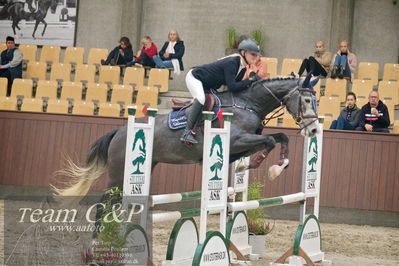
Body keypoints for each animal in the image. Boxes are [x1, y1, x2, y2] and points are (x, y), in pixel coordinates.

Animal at [54, 74, 320, 196]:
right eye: (307, 100)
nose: (315, 130)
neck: (247, 103)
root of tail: (119, 131)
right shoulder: (235, 140)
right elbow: (270, 140)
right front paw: (259, 166)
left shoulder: (242, 144)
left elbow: (280, 138)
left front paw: (271, 166)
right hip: (119, 171)